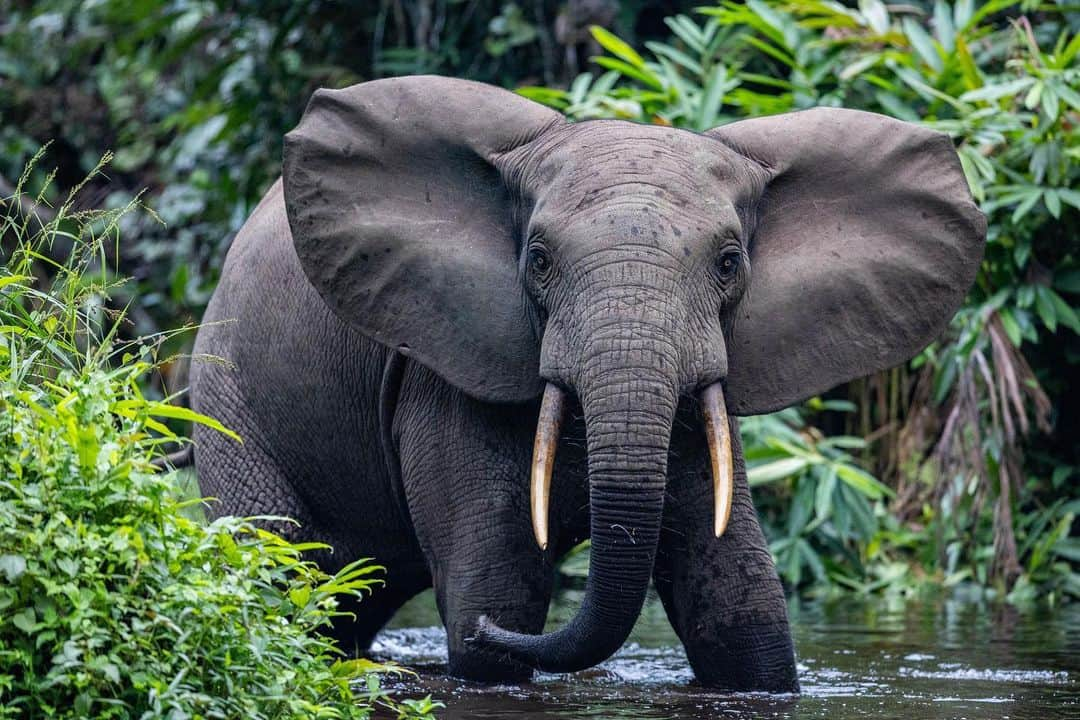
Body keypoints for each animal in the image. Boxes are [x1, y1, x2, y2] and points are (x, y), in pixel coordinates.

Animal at [187, 74, 989, 690]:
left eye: (730, 262)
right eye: (538, 259)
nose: (473, 629)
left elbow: (743, 612)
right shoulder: (445, 367)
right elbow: (501, 589)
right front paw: (489, 632)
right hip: (227, 402)